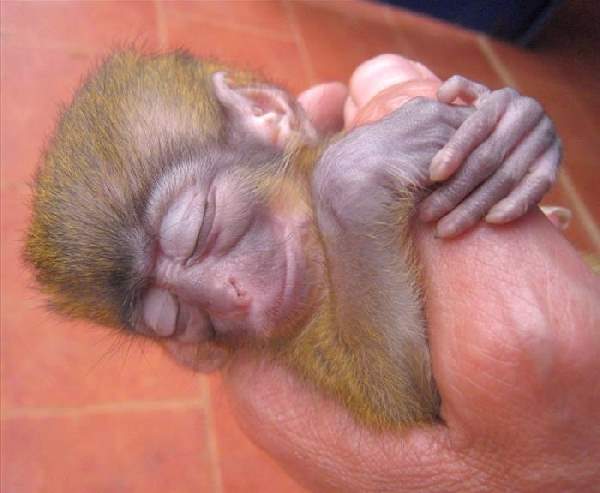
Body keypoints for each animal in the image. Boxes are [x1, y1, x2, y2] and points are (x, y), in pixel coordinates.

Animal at [25, 50, 564, 426]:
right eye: (172, 316)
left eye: (201, 226)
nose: (231, 295)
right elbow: (406, 393)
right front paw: (354, 171)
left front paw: (518, 126)